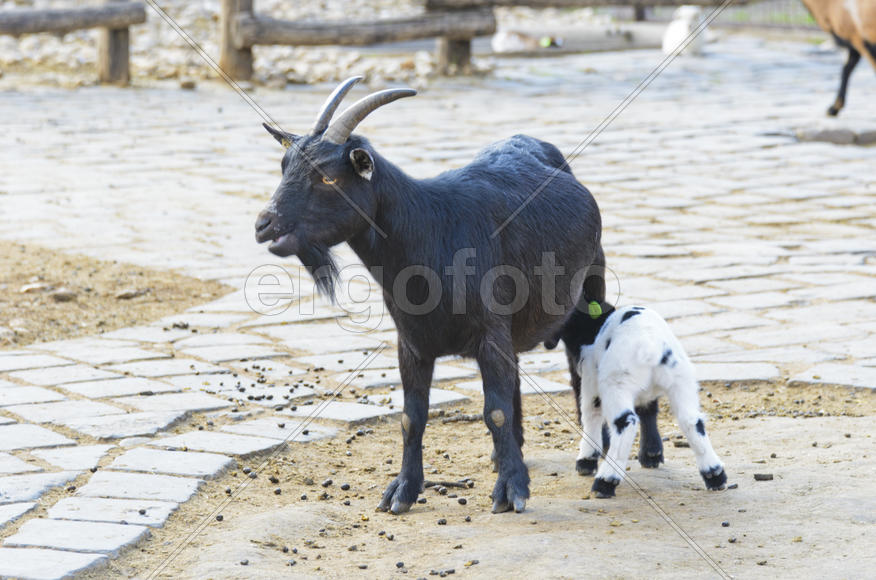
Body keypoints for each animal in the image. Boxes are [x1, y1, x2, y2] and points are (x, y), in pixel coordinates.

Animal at [255, 77, 605, 513]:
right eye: (284, 167)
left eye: (328, 178)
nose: (264, 224)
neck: (430, 230)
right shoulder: (412, 342)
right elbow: (412, 417)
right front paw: (403, 490)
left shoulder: (489, 332)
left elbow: (495, 412)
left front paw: (511, 491)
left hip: (592, 289)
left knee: (582, 372)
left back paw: (592, 456)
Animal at [546, 298, 726, 498]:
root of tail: (651, 346)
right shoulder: (647, 393)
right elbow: (648, 409)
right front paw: (651, 455)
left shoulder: (591, 379)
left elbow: (590, 416)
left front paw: (586, 460)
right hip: (681, 380)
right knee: (692, 421)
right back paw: (714, 475)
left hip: (616, 384)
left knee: (626, 422)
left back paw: (605, 482)